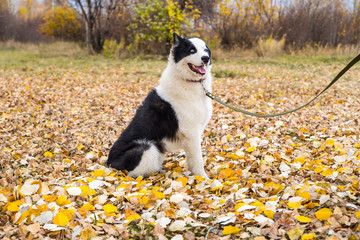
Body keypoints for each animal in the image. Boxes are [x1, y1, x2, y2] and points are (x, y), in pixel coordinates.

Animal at [108, 32, 212, 178]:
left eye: (205, 50)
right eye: (192, 50)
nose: (206, 58)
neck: (189, 81)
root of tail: (109, 164)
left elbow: (192, 160)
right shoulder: (191, 132)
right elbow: (198, 160)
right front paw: (204, 179)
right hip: (147, 147)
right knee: (133, 174)